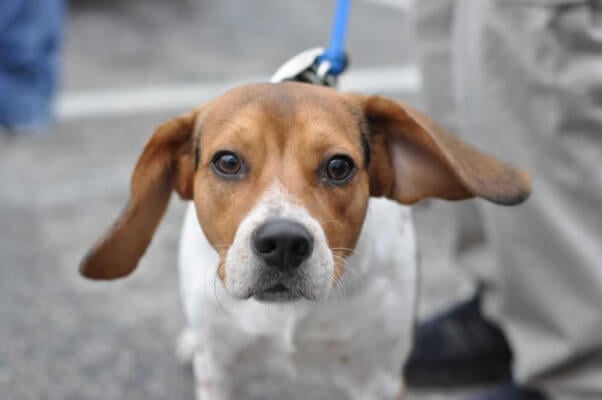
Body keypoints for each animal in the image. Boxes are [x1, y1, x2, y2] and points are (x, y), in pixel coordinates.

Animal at [79, 82, 528, 400]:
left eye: (339, 166)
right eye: (227, 161)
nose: (283, 243)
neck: (288, 315)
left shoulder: (380, 379)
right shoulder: (219, 374)